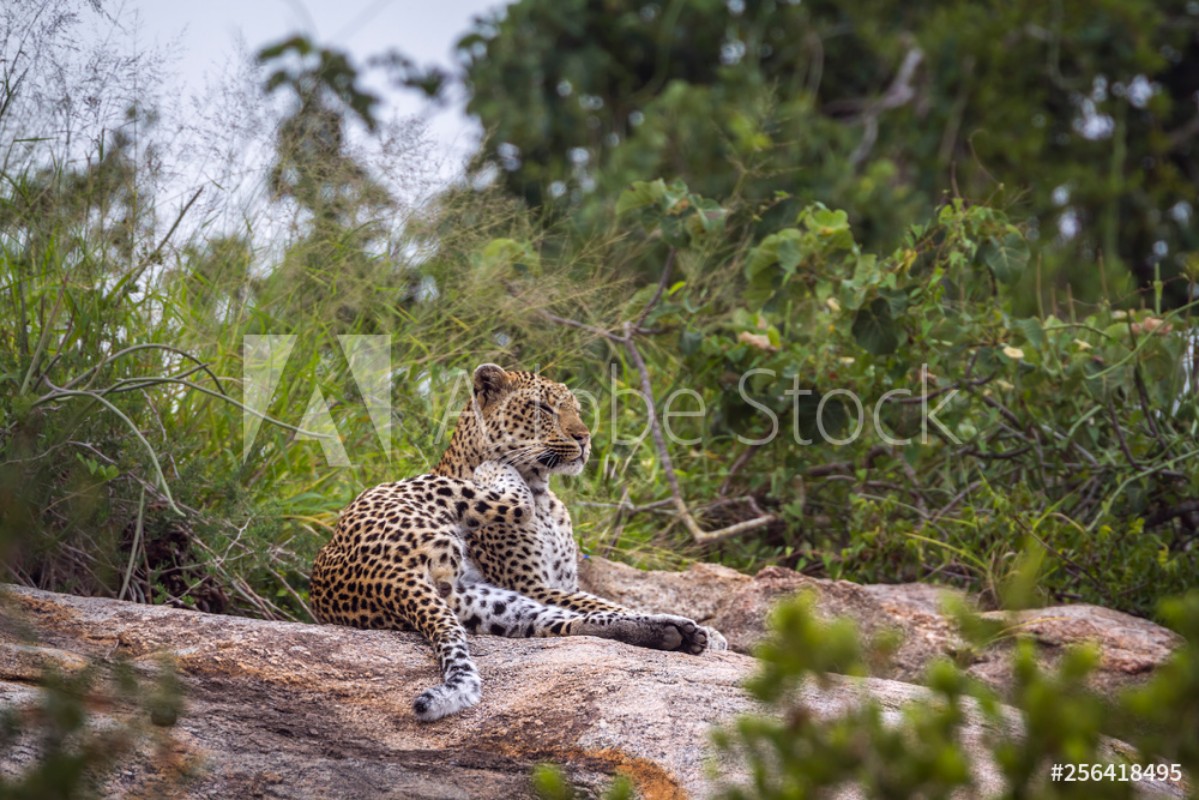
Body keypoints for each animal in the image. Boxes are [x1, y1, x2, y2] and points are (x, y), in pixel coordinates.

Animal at [309, 367, 724, 724]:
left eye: (576, 409)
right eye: (544, 409)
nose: (584, 437)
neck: (545, 493)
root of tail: (383, 576)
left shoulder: (552, 585)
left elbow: (604, 604)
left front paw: (711, 633)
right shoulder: (531, 582)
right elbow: (605, 601)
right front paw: (717, 636)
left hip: (484, 604)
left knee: (568, 625)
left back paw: (675, 633)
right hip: (443, 507)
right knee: (514, 505)